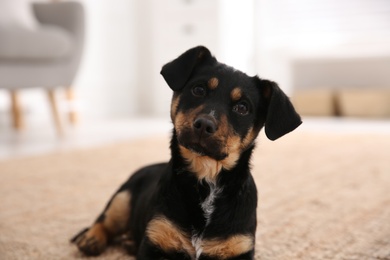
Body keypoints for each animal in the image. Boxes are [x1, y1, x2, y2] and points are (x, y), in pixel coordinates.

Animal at [71, 46, 302, 260]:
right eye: (198, 90)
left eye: (243, 108)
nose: (204, 124)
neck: (206, 177)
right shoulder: (156, 239)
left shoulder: (239, 247)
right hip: (122, 198)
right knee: (104, 221)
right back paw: (92, 239)